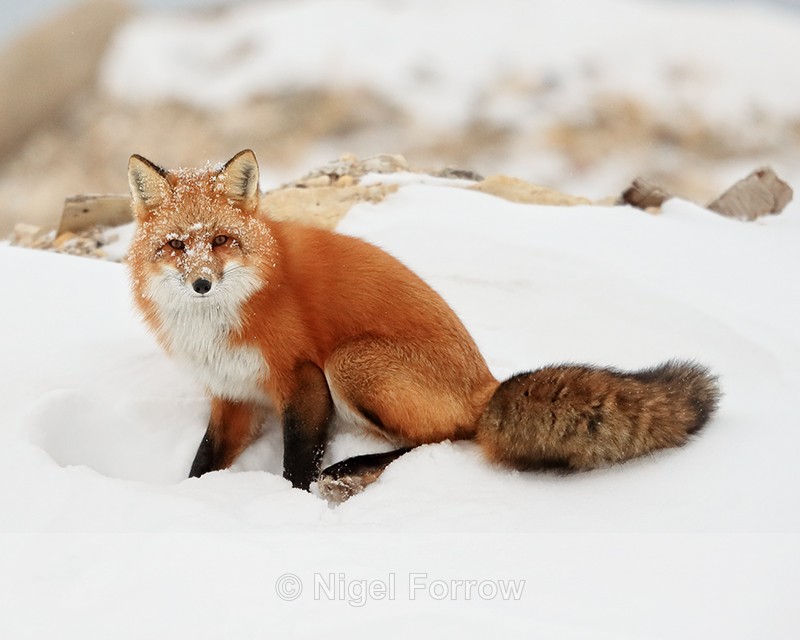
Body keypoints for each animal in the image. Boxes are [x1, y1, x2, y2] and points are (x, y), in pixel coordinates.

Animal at [127, 149, 720, 500]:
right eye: (175, 245)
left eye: (222, 240)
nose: (202, 284)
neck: (215, 326)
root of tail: (486, 385)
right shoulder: (230, 393)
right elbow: (203, 462)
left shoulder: (303, 376)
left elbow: (298, 460)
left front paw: (293, 506)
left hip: (353, 362)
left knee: (441, 438)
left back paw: (357, 466)